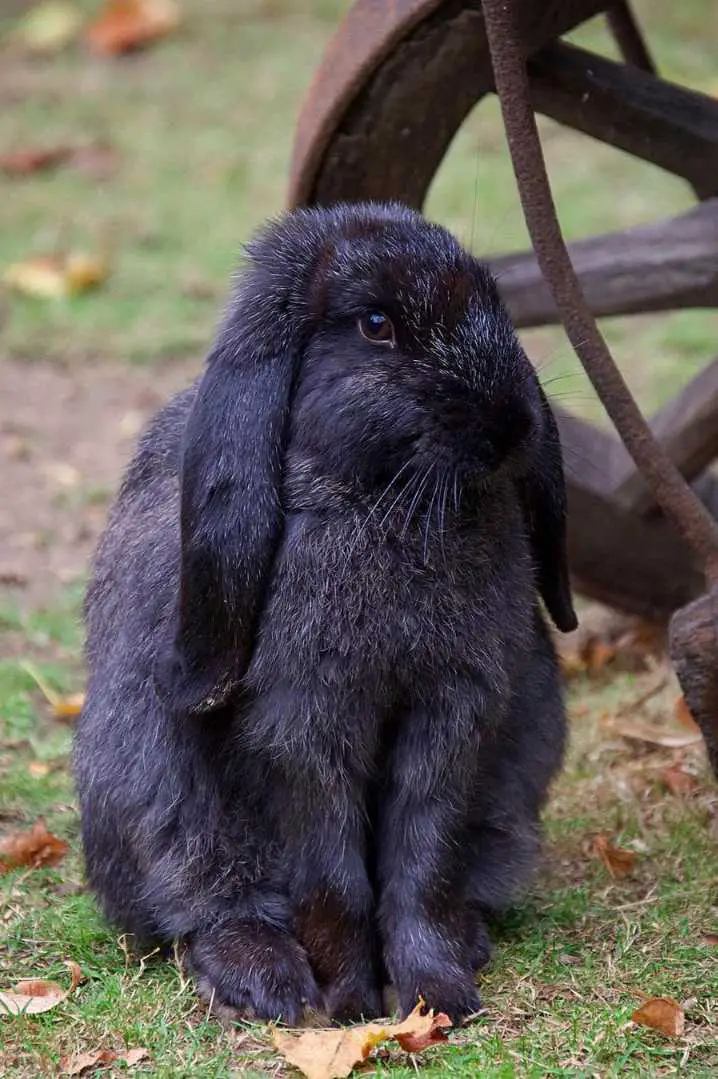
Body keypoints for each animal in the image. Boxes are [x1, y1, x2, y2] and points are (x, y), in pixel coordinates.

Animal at [72, 202, 578, 1027]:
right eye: (376, 325)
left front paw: (438, 993)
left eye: (491, 298)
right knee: (205, 898)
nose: (511, 425)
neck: (378, 495)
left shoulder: (454, 712)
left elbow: (423, 857)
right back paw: (264, 980)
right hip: (152, 781)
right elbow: (332, 871)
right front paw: (347, 1004)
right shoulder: (303, 723)